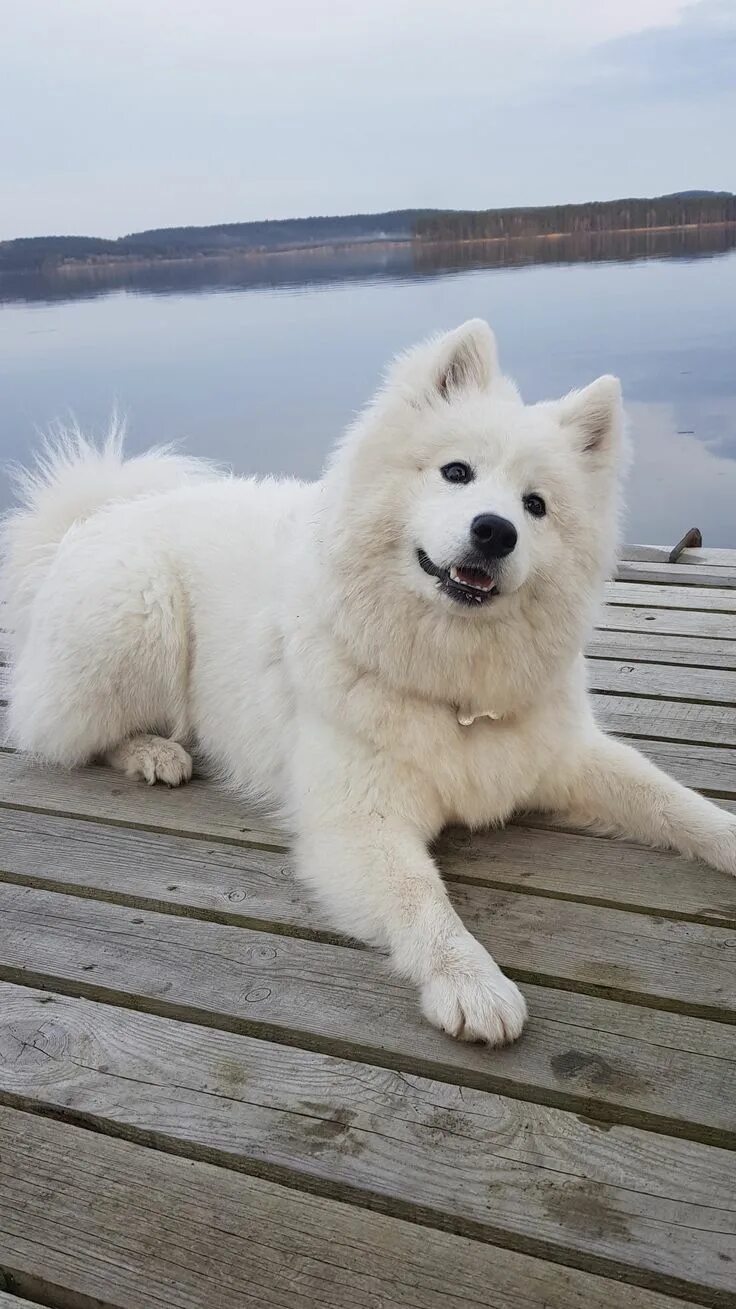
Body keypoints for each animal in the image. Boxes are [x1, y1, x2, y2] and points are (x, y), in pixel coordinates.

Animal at [2, 322, 728, 1047]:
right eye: (456, 472)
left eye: (536, 506)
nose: (495, 530)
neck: (455, 680)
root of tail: (94, 516)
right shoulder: (358, 820)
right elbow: (421, 896)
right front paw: (471, 982)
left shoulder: (565, 756)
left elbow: (671, 799)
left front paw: (729, 836)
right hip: (139, 620)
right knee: (64, 733)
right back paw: (153, 751)